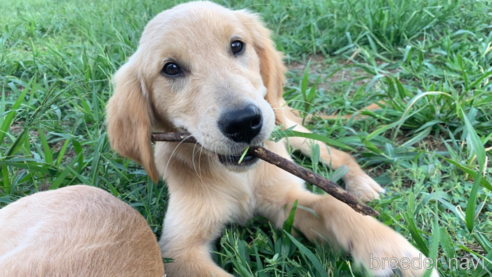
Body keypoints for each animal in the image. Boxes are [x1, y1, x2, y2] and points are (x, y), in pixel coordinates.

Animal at [106, 2, 438, 276]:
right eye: (171, 68)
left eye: (237, 45)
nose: (243, 123)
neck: (240, 178)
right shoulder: (178, 251)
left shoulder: (285, 198)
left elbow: (331, 205)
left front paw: (394, 252)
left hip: (294, 132)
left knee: (340, 156)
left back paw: (362, 185)